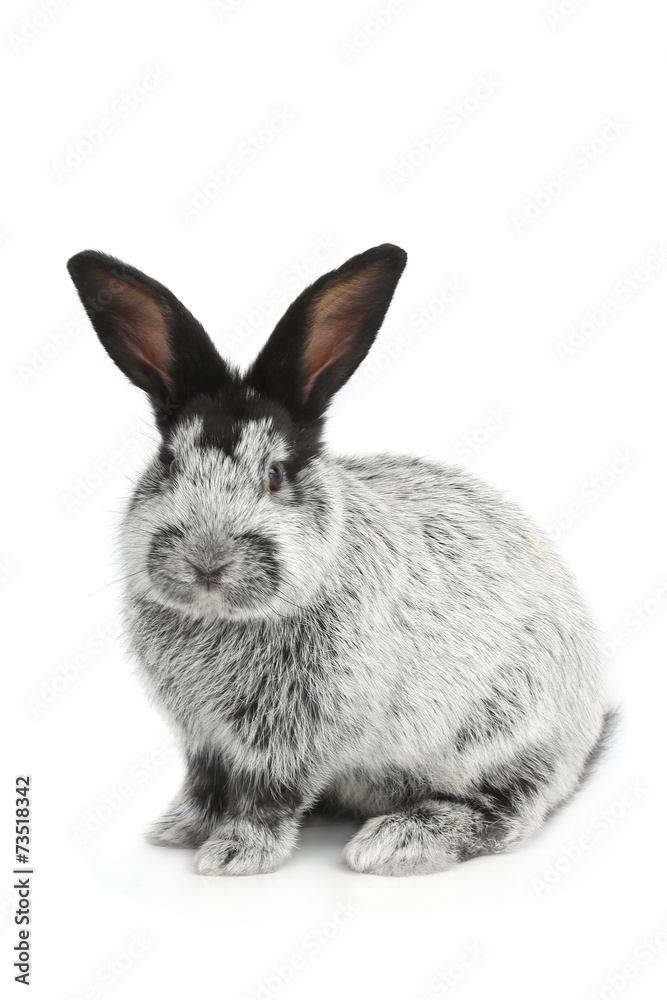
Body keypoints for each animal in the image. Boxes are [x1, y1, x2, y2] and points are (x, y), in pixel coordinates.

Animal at [67, 243, 613, 877]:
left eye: (276, 473)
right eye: (169, 463)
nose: (207, 564)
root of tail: (583, 736)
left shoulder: (292, 733)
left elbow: (268, 794)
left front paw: (233, 854)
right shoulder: (205, 739)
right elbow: (205, 786)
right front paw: (178, 831)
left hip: (501, 734)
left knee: (507, 812)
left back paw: (395, 840)